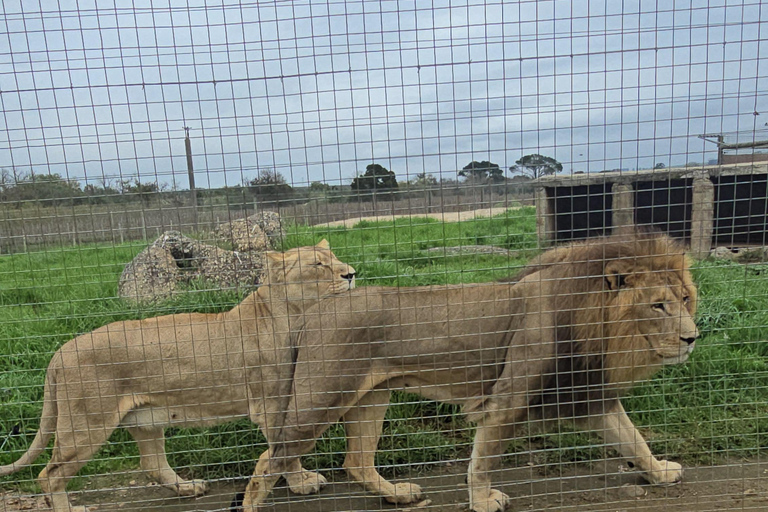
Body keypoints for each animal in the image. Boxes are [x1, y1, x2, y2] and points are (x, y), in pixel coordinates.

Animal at [0, 240, 356, 512]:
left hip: (143, 420)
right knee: (50, 474)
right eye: (318, 264)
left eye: (335, 257)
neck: (295, 316)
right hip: (86, 424)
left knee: (152, 464)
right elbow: (287, 451)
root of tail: (60, 352)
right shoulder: (271, 404)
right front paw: (302, 483)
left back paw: (188, 487)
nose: (351, 273)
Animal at [235, 230, 698, 512]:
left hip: (371, 398)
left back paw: (398, 494)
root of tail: (313, 312)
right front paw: (482, 500)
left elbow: (633, 439)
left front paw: (659, 472)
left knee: (356, 461)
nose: (693, 338)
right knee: (269, 459)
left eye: (685, 299)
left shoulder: (586, 392)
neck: (596, 323)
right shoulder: (507, 399)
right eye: (658, 305)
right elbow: (484, 459)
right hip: (322, 398)